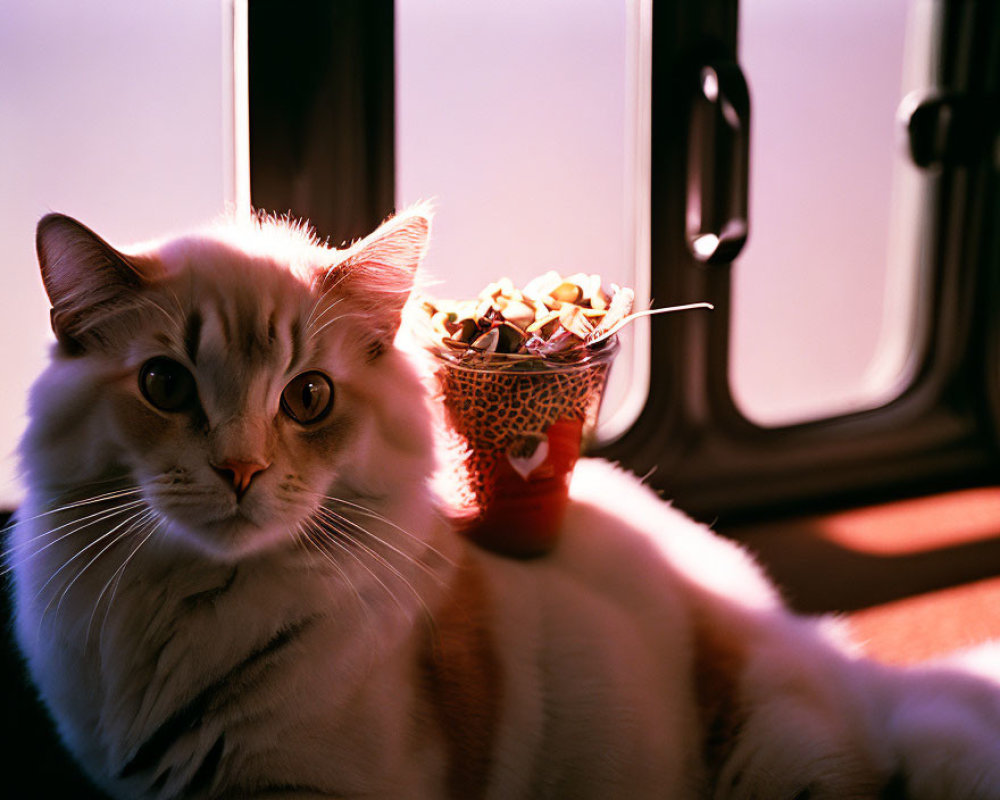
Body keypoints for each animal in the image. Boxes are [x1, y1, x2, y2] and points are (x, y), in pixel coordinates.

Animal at [5, 208, 1000, 800]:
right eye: (165, 385)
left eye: (308, 398)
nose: (241, 472)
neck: (193, 612)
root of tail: (840, 663)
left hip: (782, 760)